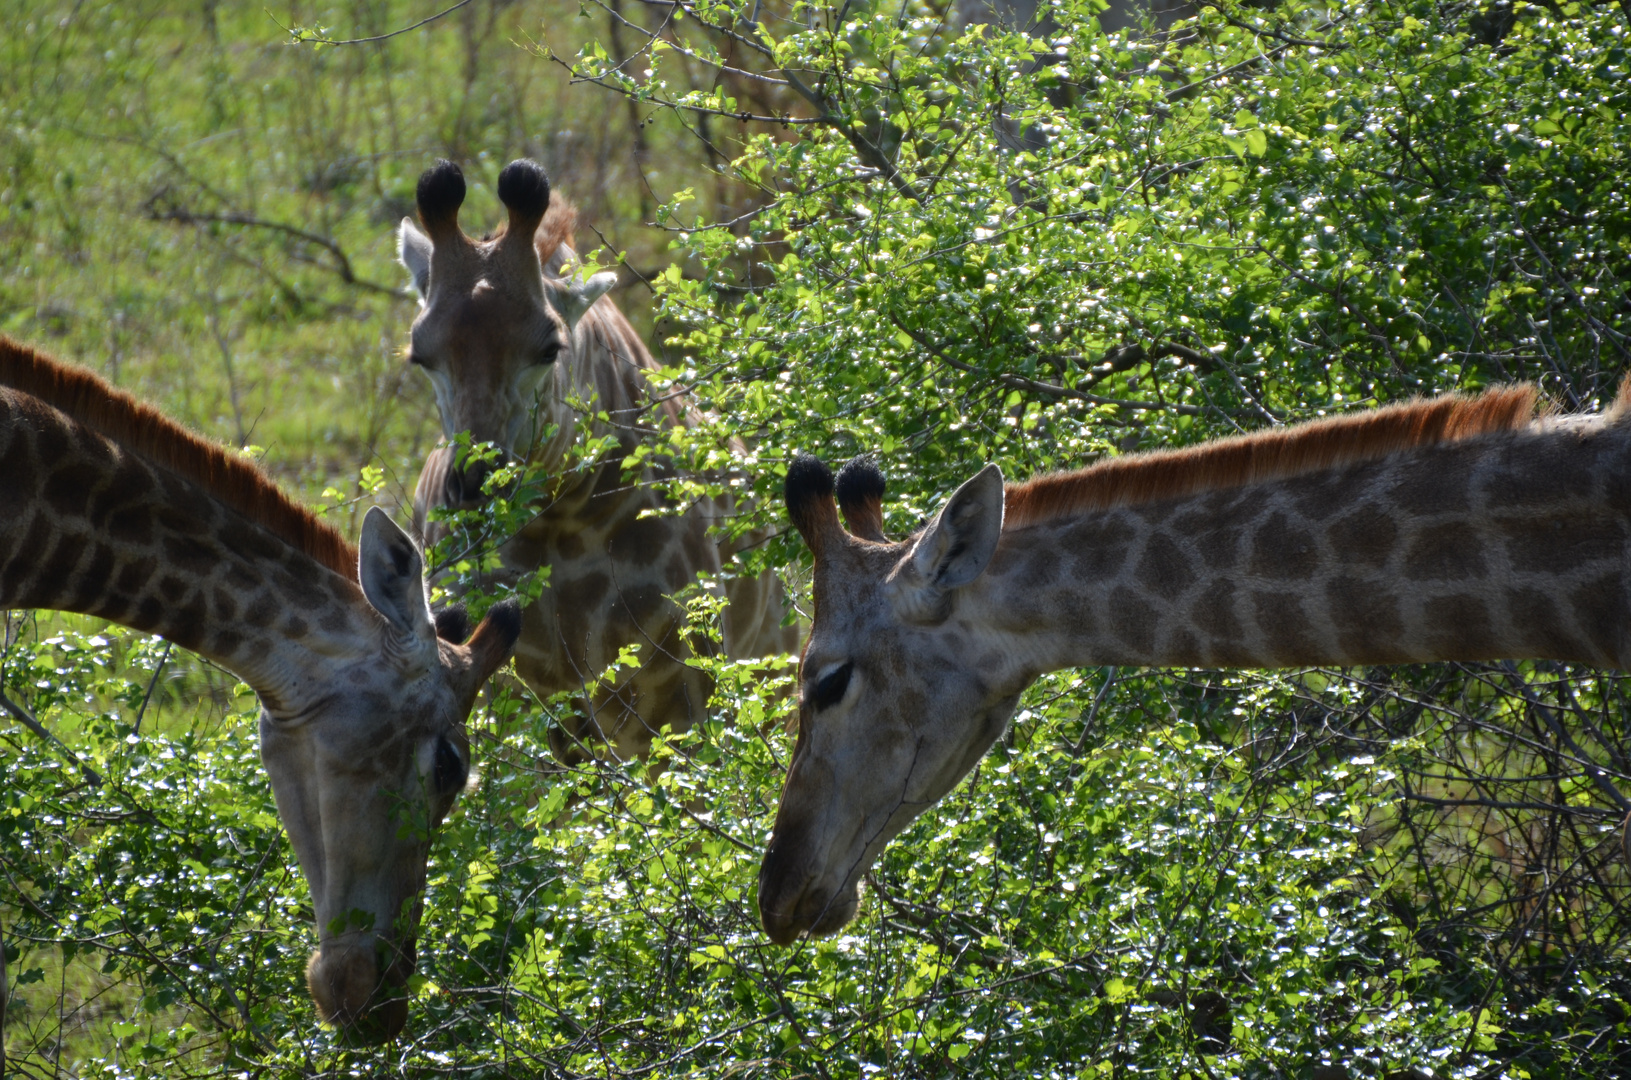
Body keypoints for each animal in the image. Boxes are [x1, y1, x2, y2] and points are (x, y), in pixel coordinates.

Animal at [397, 160, 799, 766]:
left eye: (549, 347)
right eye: (420, 355)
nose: (472, 490)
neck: (560, 521)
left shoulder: (679, 704)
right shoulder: (507, 707)